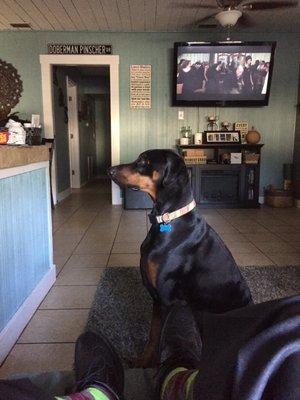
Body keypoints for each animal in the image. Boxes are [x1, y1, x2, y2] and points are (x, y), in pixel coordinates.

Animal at [108, 149, 253, 366]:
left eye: (144, 161)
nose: (110, 170)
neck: (169, 219)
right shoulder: (157, 299)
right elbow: (152, 336)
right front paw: (141, 362)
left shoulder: (165, 299)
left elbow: (159, 339)